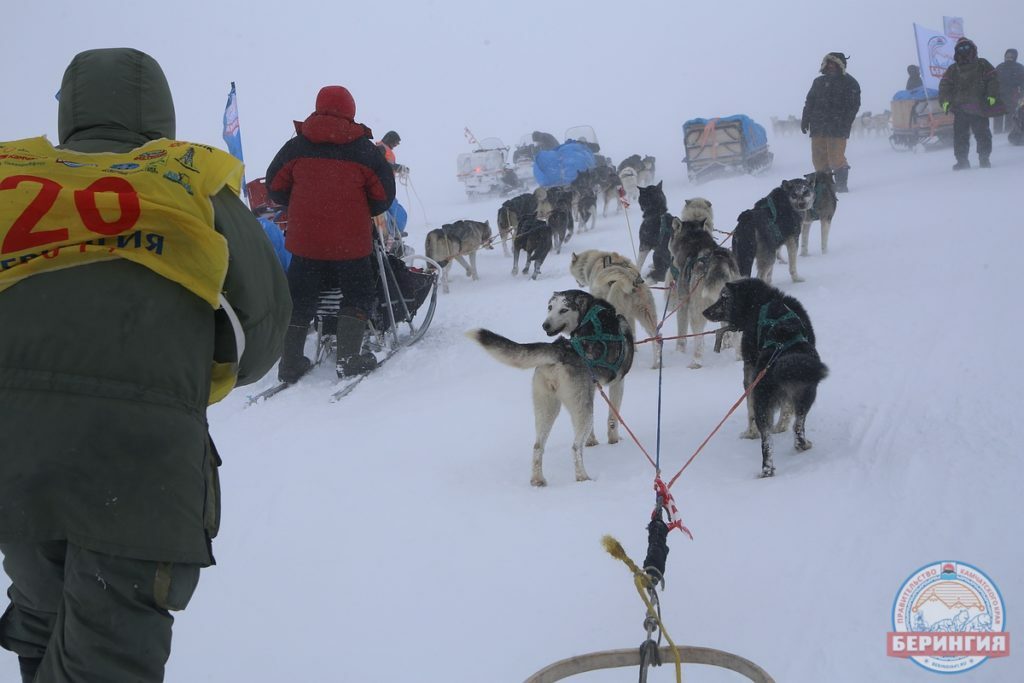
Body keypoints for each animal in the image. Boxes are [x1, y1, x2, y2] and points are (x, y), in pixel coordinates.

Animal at [708, 276, 827, 475]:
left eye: (724, 298)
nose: (705, 311)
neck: (764, 300)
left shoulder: (749, 370)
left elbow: (752, 410)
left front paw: (751, 433)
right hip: (805, 393)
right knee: (795, 427)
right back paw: (797, 448)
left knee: (769, 438)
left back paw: (768, 466)